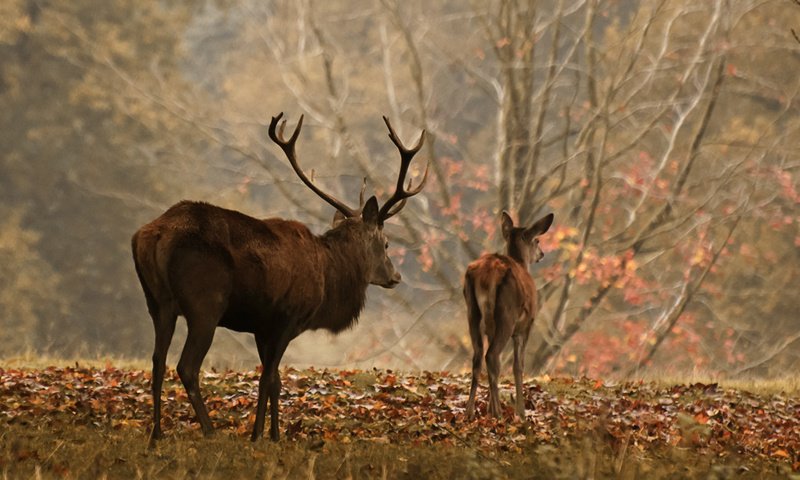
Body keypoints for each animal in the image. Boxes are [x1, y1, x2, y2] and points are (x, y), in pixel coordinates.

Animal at [466, 212, 552, 418]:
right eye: (537, 240)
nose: (542, 254)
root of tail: (488, 274)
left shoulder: (491, 328)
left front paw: (489, 407)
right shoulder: (527, 324)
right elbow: (518, 365)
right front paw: (521, 412)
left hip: (472, 310)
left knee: (479, 356)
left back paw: (470, 411)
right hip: (508, 313)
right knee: (492, 355)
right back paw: (498, 413)